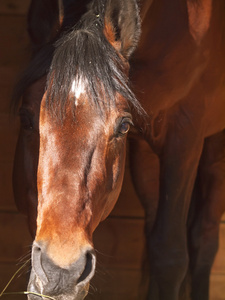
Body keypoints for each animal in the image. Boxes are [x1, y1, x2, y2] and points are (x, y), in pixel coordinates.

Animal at [12, 0, 225, 298]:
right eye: (26, 118)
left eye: (124, 125)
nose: (60, 274)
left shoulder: (185, 133)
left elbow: (170, 255)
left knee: (204, 239)